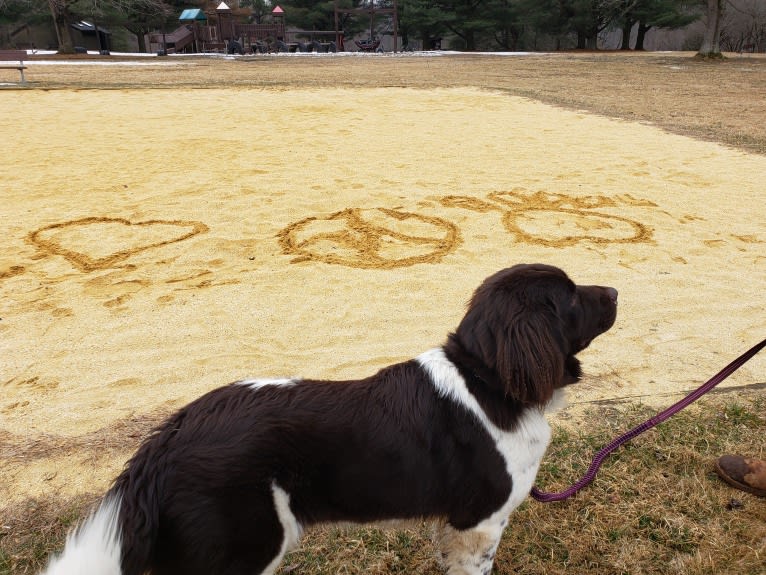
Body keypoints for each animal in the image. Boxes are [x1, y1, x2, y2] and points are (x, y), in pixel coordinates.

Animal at [40, 264, 616, 572]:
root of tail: (168, 436)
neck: (488, 379)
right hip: (248, 544)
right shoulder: (480, 523)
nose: (615, 290)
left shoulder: (455, 528)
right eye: (569, 297)